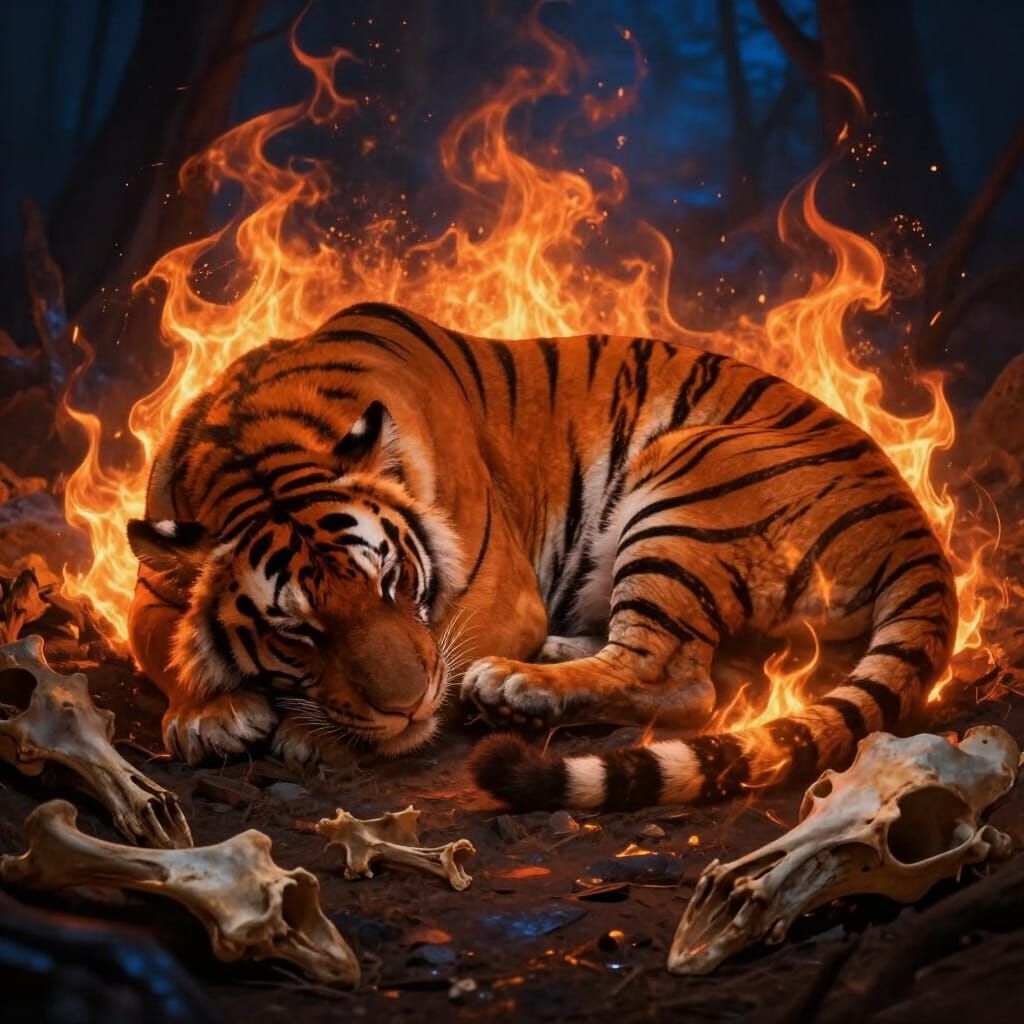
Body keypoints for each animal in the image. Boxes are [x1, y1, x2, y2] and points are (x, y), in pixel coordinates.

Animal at [126, 301, 956, 811]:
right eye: (298, 631)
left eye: (392, 581)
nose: (407, 706)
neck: (257, 445)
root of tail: (914, 520)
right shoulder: (149, 582)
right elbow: (161, 641)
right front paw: (209, 714)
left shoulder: (495, 592)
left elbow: (442, 650)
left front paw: (308, 733)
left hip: (686, 485)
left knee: (677, 676)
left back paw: (515, 684)